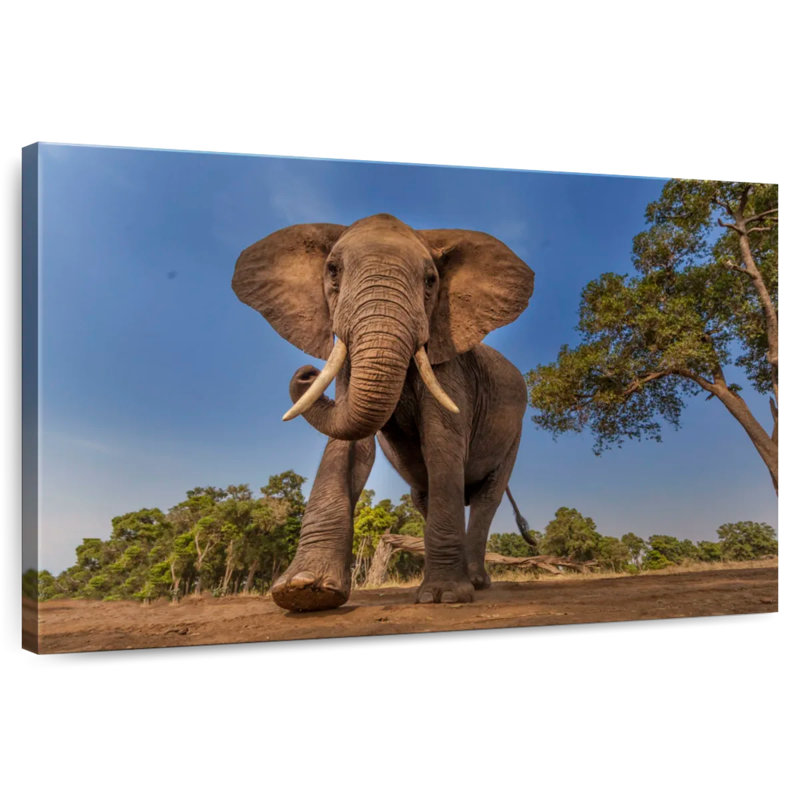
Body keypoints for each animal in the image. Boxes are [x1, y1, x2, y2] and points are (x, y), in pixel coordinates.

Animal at [232, 213, 534, 611]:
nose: (306, 373)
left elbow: (442, 443)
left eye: (430, 280)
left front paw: (445, 596)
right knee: (423, 495)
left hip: (515, 433)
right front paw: (304, 591)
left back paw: (475, 583)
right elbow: (349, 445)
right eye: (332, 270)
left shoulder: (449, 364)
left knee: (487, 497)